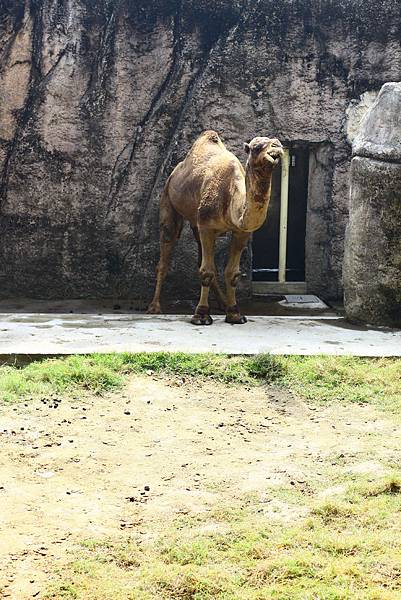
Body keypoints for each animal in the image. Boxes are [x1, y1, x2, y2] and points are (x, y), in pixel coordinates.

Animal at [148, 130, 284, 324]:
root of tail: (174, 173)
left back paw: (222, 303)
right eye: (257, 147)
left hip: (196, 223)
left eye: (278, 143)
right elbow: (207, 271)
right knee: (166, 250)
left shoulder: (240, 231)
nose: (276, 146)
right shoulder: (206, 226)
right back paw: (154, 307)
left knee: (200, 258)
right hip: (168, 200)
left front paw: (234, 313)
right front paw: (201, 315)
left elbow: (231, 273)